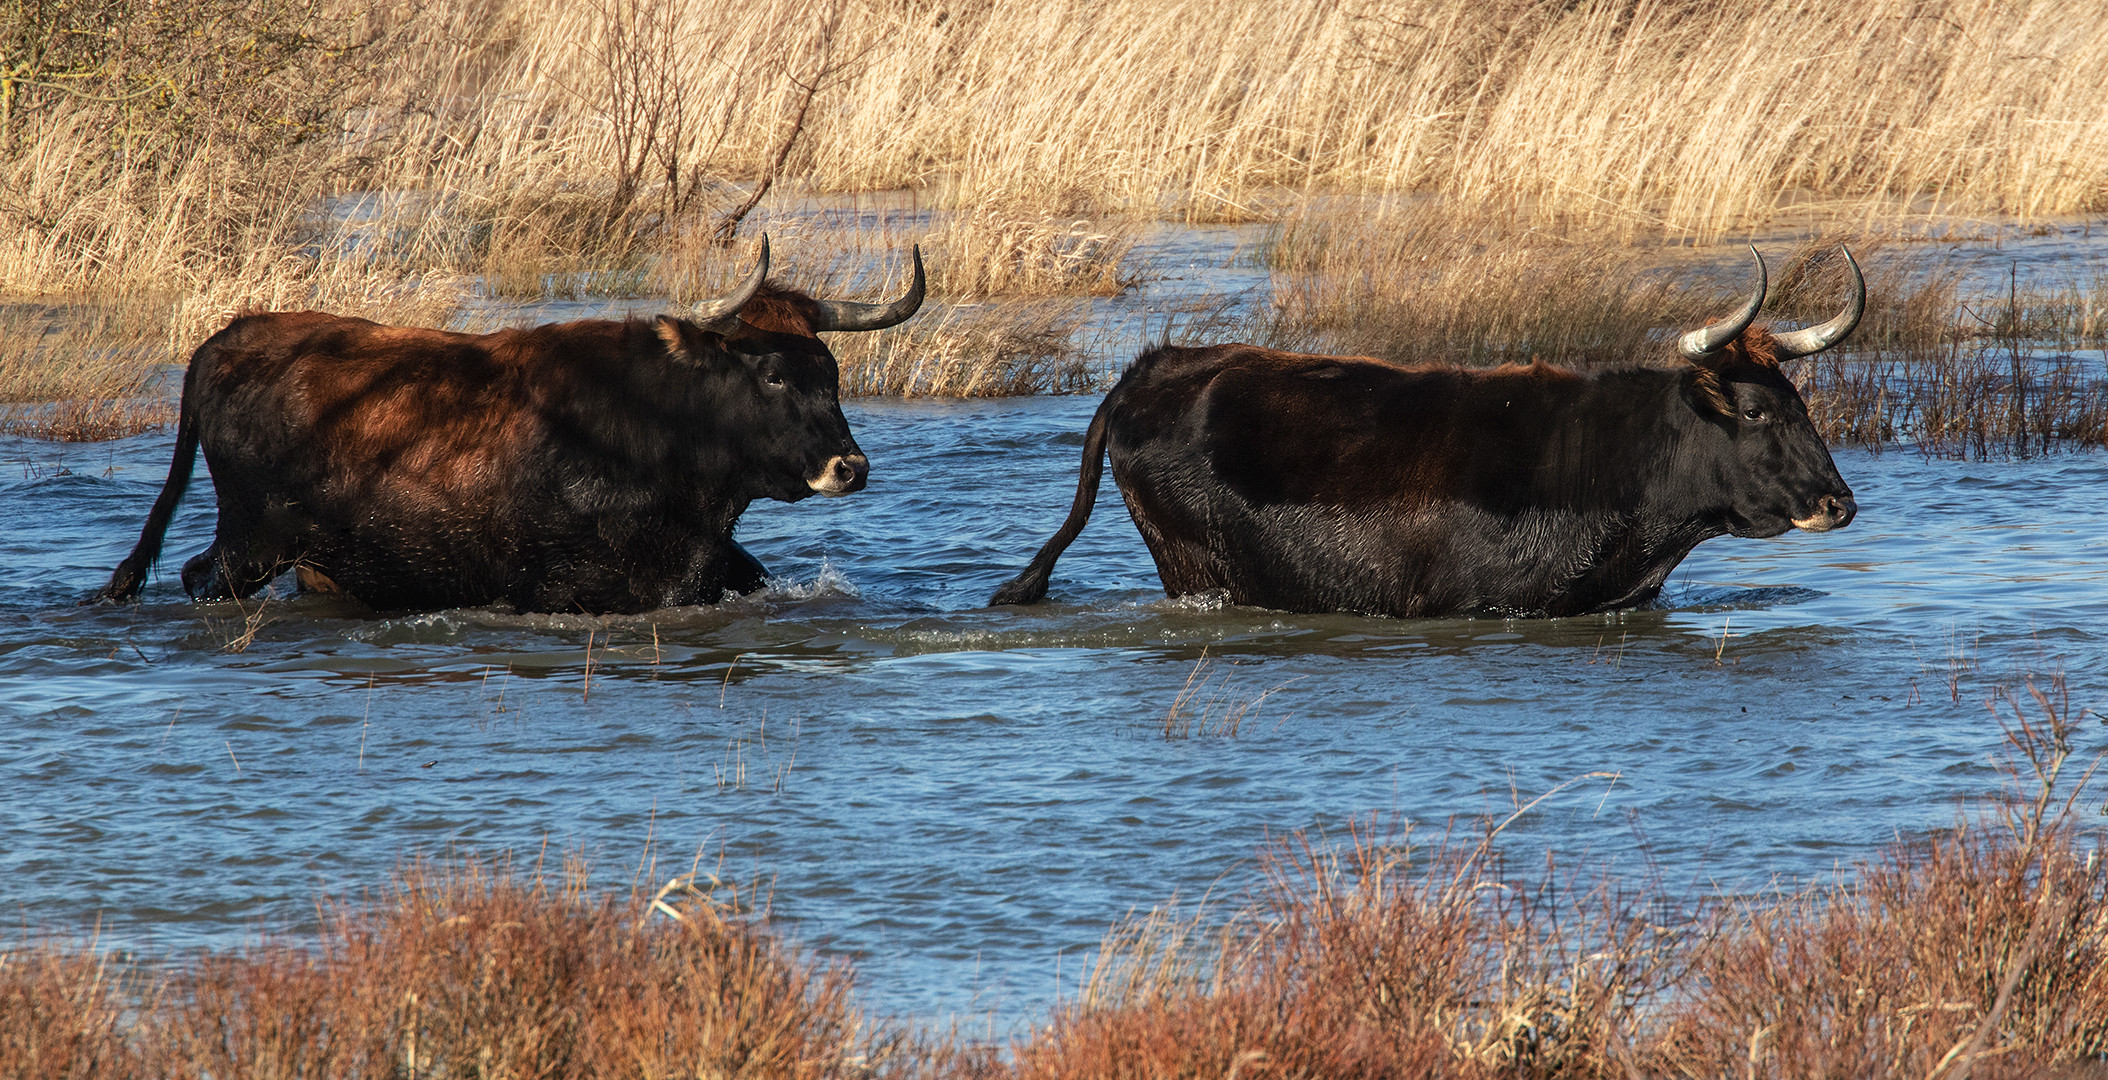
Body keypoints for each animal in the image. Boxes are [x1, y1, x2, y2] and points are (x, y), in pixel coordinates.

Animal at [94, 241, 923, 615]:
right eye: (773, 373)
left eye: (831, 372)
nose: (849, 466)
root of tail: (229, 338)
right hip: (250, 540)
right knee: (197, 577)